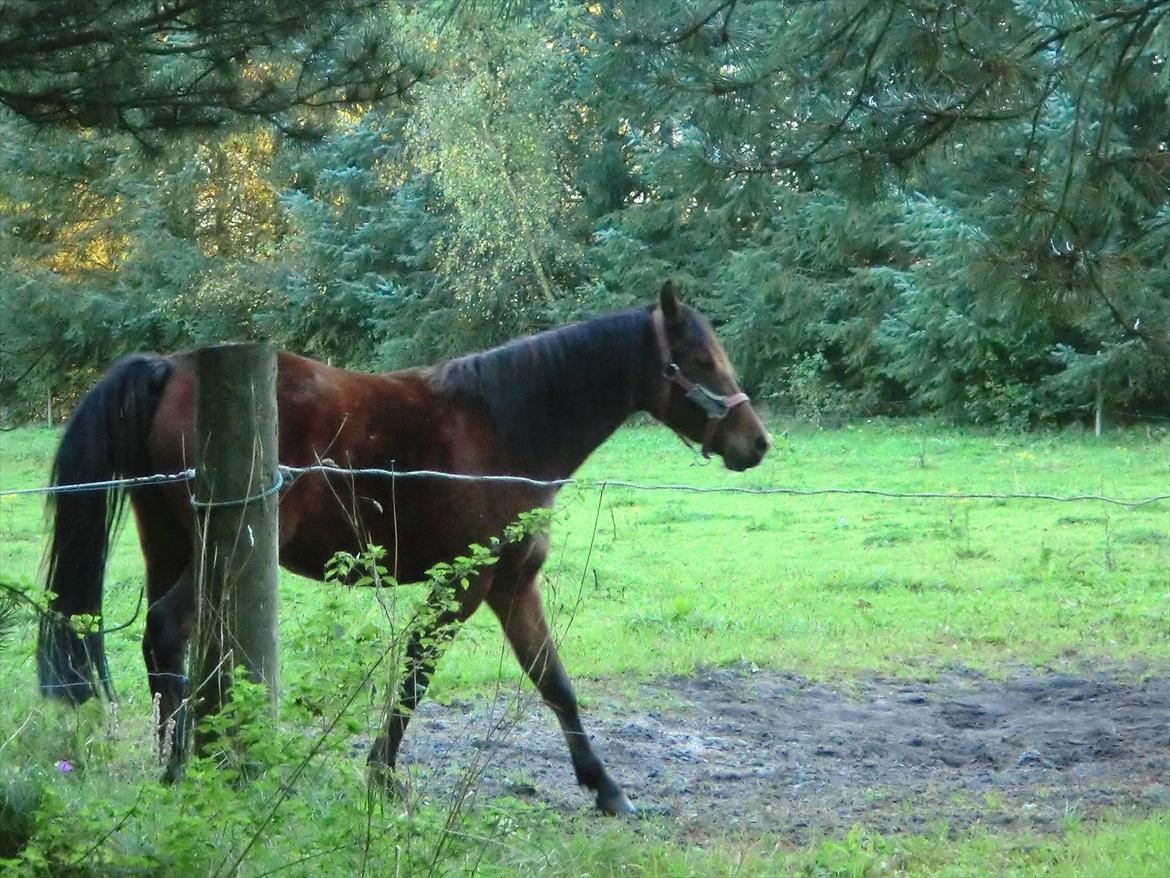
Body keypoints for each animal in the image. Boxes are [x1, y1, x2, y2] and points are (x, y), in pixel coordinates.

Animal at [37, 281, 770, 814]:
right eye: (698, 360)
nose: (756, 442)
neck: (505, 426)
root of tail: (168, 367)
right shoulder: (464, 585)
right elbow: (417, 676)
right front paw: (383, 777)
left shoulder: (512, 586)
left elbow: (555, 684)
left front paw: (606, 788)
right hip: (217, 550)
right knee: (167, 630)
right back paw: (179, 769)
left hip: (168, 546)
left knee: (165, 645)